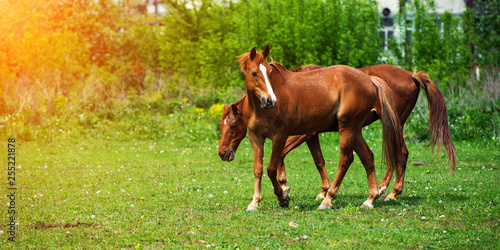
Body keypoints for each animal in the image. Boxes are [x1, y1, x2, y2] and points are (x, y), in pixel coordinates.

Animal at [219, 62, 458, 201]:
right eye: (221, 124)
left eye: (233, 125)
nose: (222, 153)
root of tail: (411, 74)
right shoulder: (311, 134)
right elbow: (317, 160)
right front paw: (321, 190)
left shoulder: (303, 134)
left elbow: (286, 155)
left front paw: (286, 187)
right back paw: (382, 190)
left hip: (393, 123)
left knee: (400, 153)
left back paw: (390, 192)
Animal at [233, 45, 402, 211]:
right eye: (254, 73)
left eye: (269, 72)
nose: (270, 100)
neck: (259, 109)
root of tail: (369, 80)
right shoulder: (255, 136)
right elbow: (258, 169)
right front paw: (255, 202)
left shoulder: (280, 136)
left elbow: (271, 169)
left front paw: (283, 197)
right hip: (355, 130)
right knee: (367, 157)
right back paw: (370, 199)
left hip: (347, 127)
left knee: (346, 159)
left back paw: (328, 200)